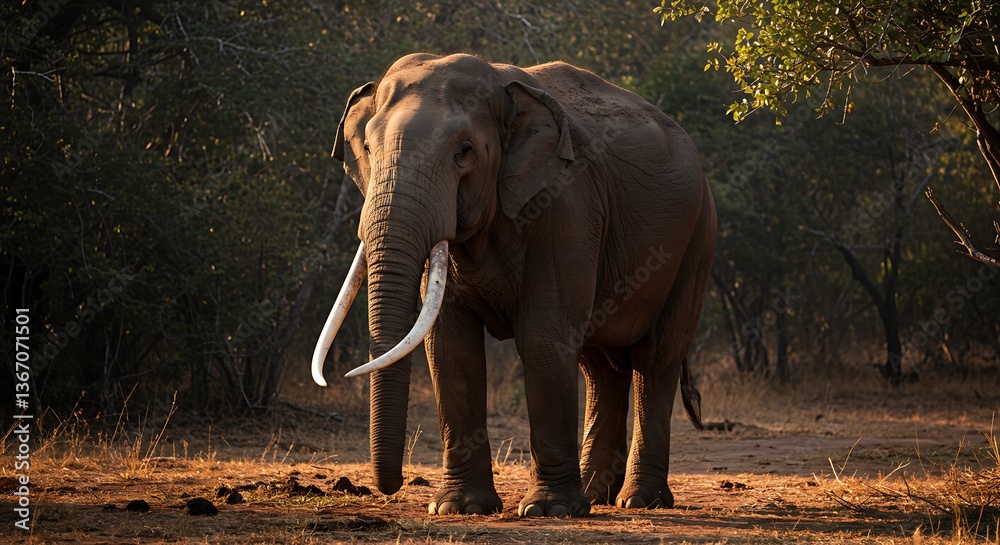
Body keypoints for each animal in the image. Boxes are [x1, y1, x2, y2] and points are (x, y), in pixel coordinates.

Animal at [312, 53, 716, 517]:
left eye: (464, 152)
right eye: (367, 149)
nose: (390, 486)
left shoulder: (567, 204)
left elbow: (543, 336)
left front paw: (549, 511)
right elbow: (449, 345)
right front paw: (459, 508)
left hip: (697, 241)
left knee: (656, 359)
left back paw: (639, 501)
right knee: (599, 366)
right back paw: (596, 495)